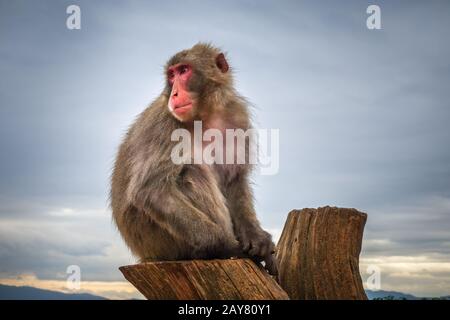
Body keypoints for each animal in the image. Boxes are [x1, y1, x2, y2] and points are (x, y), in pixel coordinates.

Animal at [110, 42, 276, 276]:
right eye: (171, 75)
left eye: (184, 70)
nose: (174, 93)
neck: (204, 116)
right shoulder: (166, 124)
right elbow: (150, 189)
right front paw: (228, 246)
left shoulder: (237, 117)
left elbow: (234, 180)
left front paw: (257, 238)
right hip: (161, 242)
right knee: (191, 171)